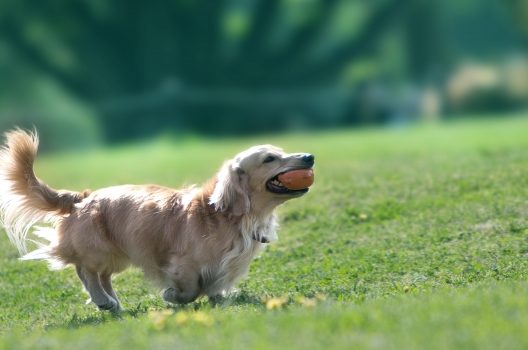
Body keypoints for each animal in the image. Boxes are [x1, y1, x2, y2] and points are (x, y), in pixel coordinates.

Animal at [0, 131, 314, 312]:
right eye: (270, 158)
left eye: (281, 152)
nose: (309, 156)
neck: (226, 216)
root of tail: (82, 198)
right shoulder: (181, 264)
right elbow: (190, 289)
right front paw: (172, 296)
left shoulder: (226, 267)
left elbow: (215, 288)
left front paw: (221, 301)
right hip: (98, 251)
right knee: (85, 271)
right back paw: (103, 300)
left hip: (117, 255)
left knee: (101, 276)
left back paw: (113, 303)